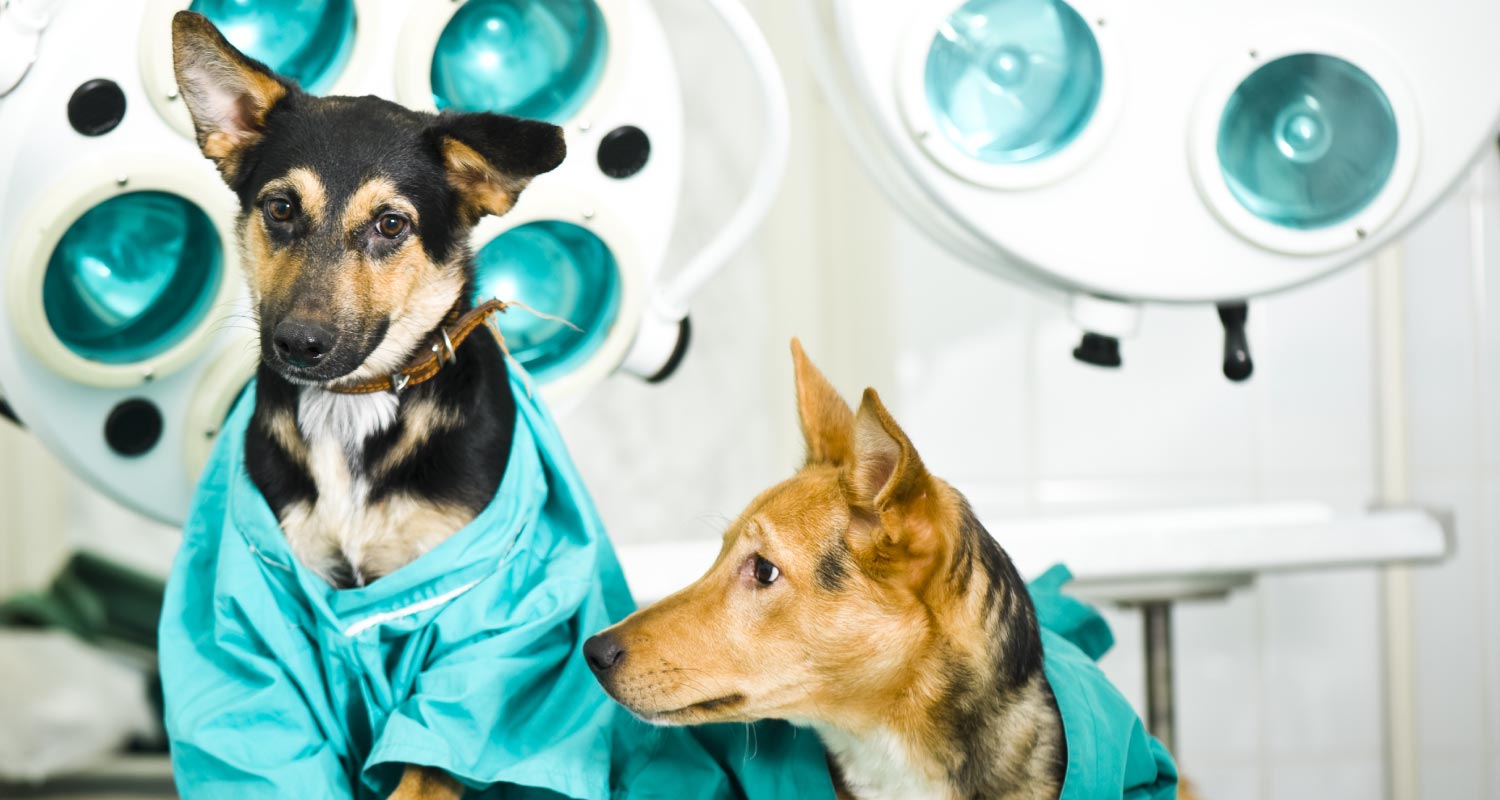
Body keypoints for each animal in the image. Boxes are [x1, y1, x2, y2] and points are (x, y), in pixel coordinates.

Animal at [170, 12, 564, 798]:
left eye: (390, 225)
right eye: (280, 208)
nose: (298, 344)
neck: (353, 408)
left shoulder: (466, 617)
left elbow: (427, 760)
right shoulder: (278, 611)